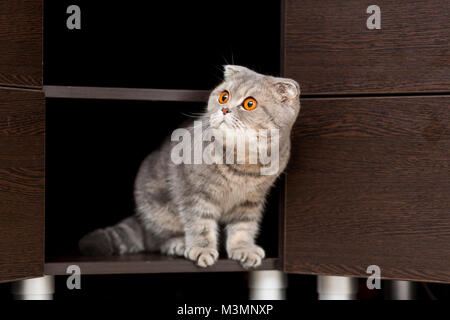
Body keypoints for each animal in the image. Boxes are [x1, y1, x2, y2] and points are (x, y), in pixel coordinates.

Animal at [79, 66, 300, 268]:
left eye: (249, 103)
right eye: (224, 97)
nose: (225, 109)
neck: (243, 160)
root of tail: (142, 222)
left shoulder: (250, 201)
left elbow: (243, 227)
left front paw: (243, 248)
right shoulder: (194, 191)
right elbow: (200, 224)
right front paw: (202, 249)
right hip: (156, 207)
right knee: (159, 239)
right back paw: (178, 243)